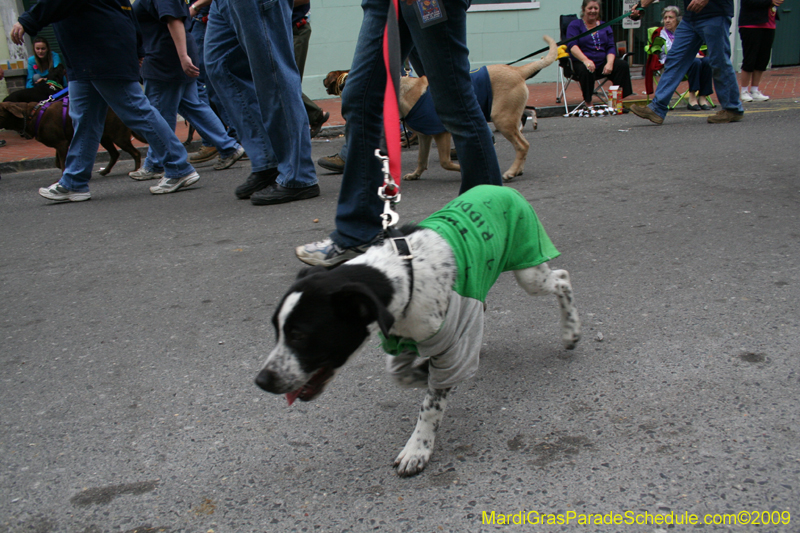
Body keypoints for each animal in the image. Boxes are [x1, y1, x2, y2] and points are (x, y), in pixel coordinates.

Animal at [0, 100, 145, 175]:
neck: (30, 115)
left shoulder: (62, 143)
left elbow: (62, 163)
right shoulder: (60, 143)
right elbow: (58, 162)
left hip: (118, 136)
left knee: (135, 153)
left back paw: (136, 170)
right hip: (105, 137)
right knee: (115, 154)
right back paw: (105, 171)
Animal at [256, 185, 580, 476]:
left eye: (300, 335)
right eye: (276, 331)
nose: (261, 381)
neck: (400, 273)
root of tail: (501, 187)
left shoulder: (447, 341)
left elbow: (430, 405)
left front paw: (418, 448)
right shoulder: (399, 338)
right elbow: (400, 374)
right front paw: (421, 373)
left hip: (529, 269)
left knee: (563, 279)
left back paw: (571, 332)